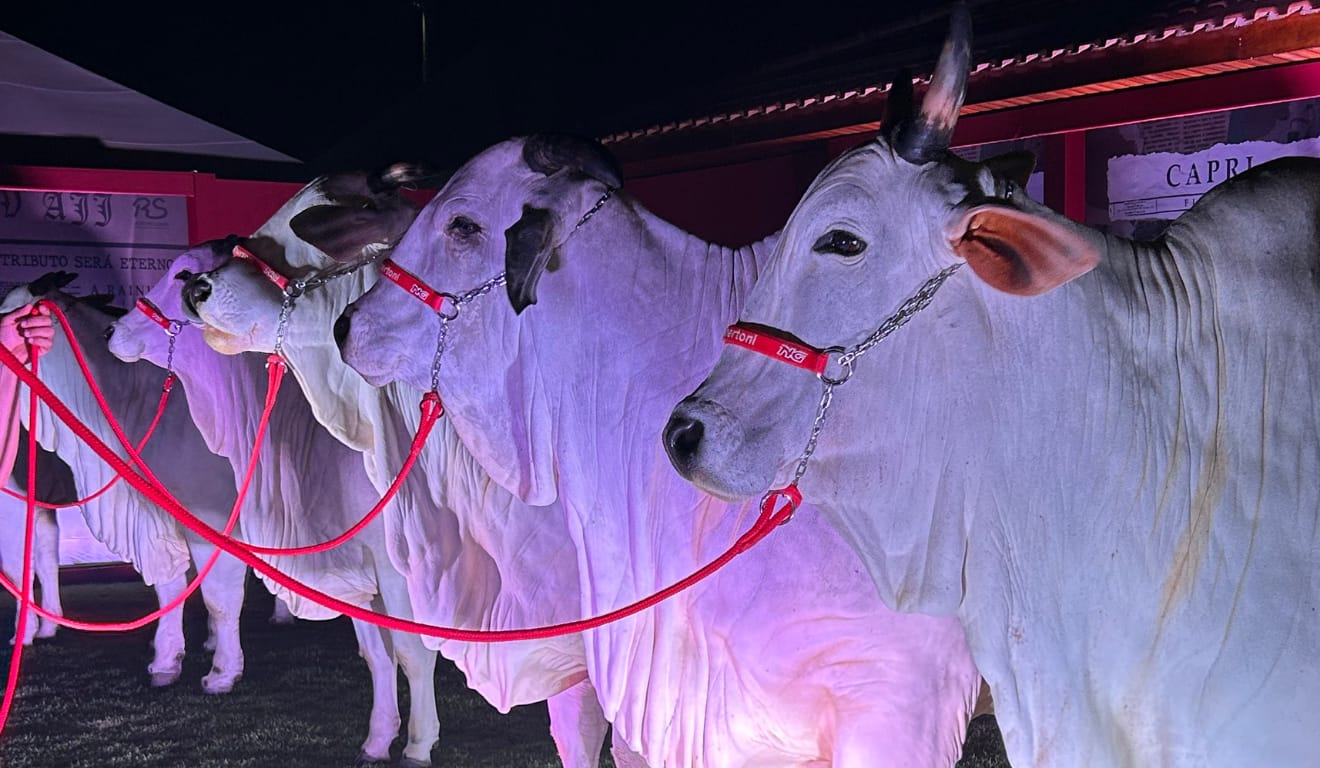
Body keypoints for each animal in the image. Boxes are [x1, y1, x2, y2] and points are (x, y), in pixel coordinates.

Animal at [107, 225, 443, 764]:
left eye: (183, 273)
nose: (112, 332)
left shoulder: (400, 567)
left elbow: (413, 652)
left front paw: (417, 743)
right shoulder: (358, 568)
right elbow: (377, 655)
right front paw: (377, 739)